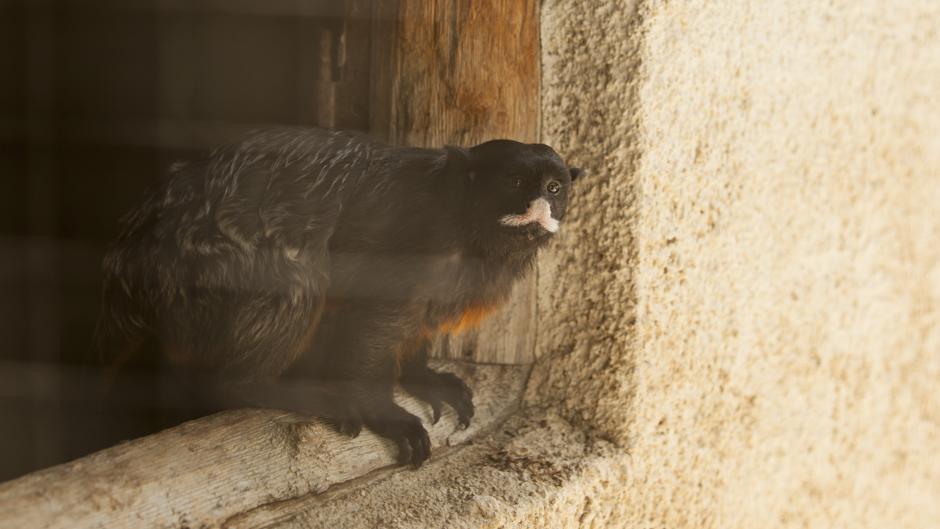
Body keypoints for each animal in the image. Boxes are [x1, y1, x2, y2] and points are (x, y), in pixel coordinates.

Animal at [95, 128, 580, 466]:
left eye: (553, 188)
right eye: (515, 182)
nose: (539, 206)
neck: (469, 228)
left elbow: (416, 323)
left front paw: (420, 374)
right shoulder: (422, 239)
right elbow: (374, 321)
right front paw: (381, 409)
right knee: (297, 270)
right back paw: (263, 385)